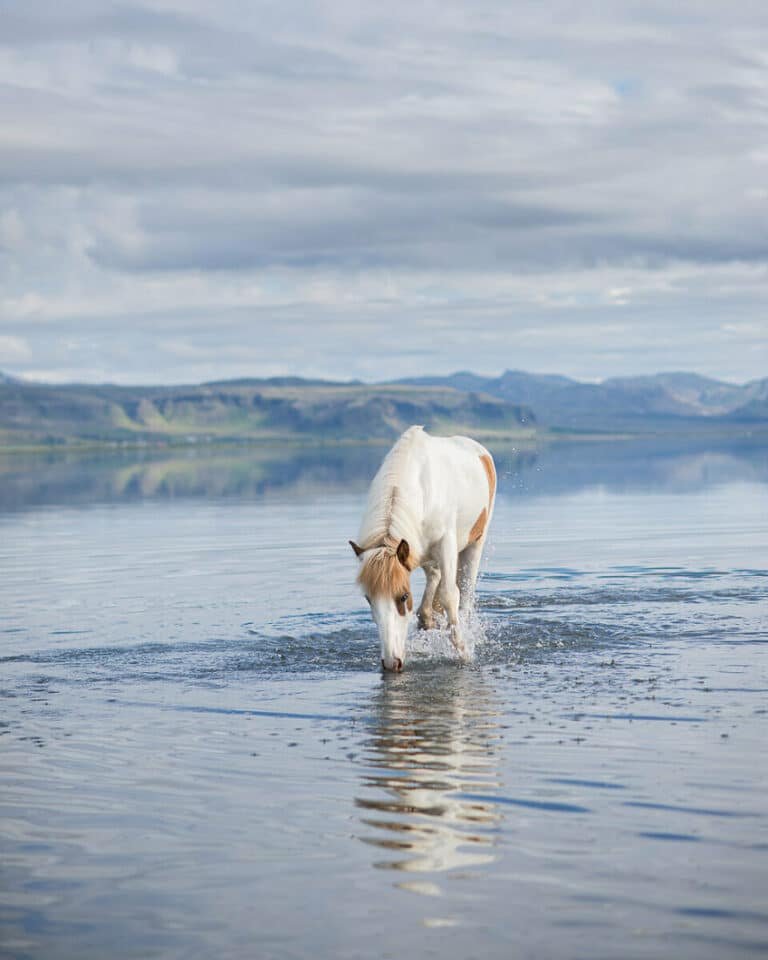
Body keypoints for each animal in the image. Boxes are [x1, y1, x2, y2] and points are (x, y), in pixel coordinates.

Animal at [350, 424, 498, 672]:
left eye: (403, 597)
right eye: (369, 599)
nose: (391, 662)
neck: (419, 488)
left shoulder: (446, 544)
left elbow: (450, 595)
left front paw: (462, 651)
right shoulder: (414, 551)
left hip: (476, 543)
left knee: (465, 594)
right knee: (434, 578)